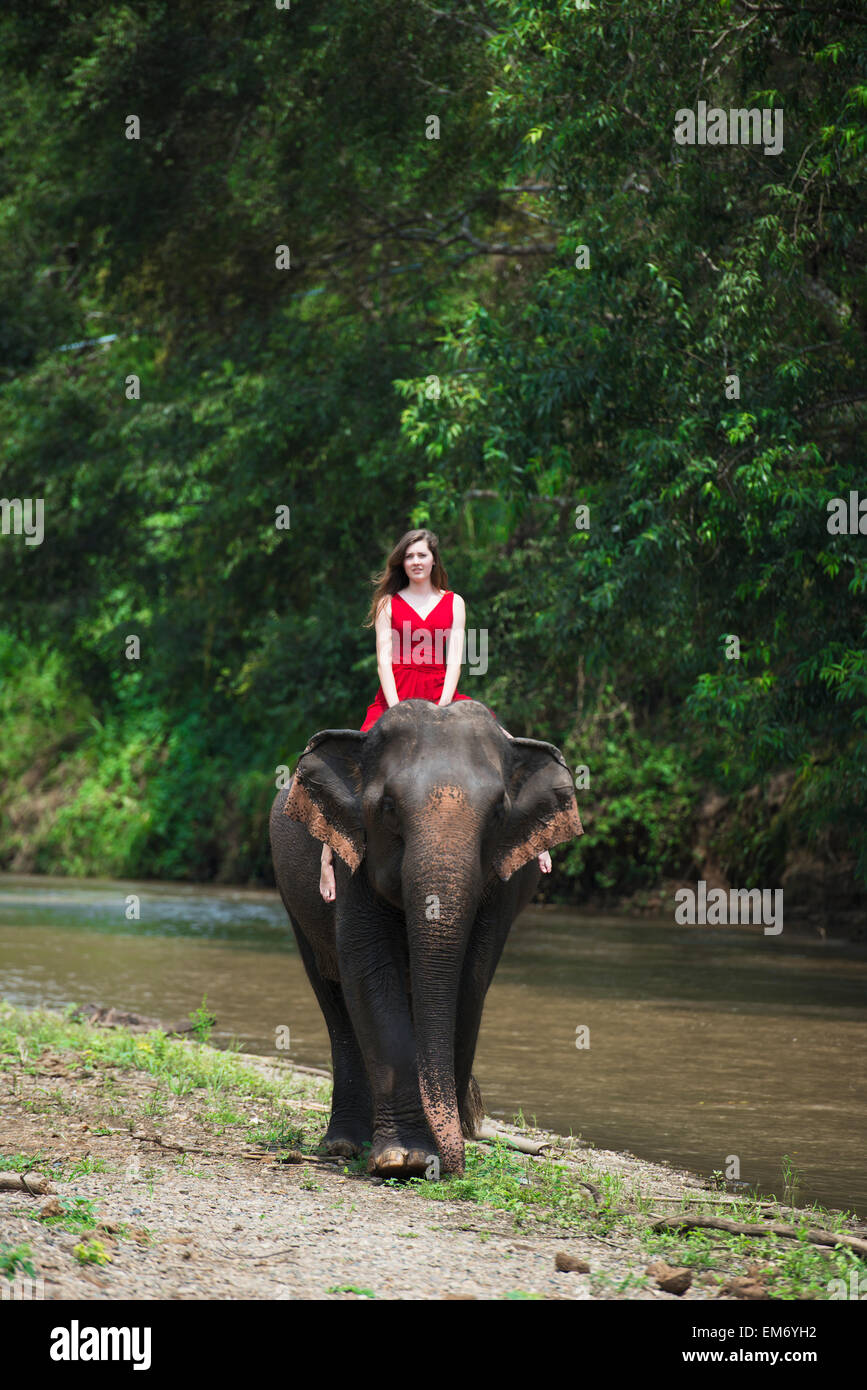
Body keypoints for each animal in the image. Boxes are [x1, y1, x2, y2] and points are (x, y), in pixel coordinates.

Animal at [269, 698, 583, 1178]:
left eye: (498, 811)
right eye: (388, 806)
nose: (454, 1159)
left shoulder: (502, 887)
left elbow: (471, 979)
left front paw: (432, 1151)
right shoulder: (352, 861)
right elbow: (369, 972)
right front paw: (405, 1159)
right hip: (294, 899)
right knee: (332, 996)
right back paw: (343, 1144)